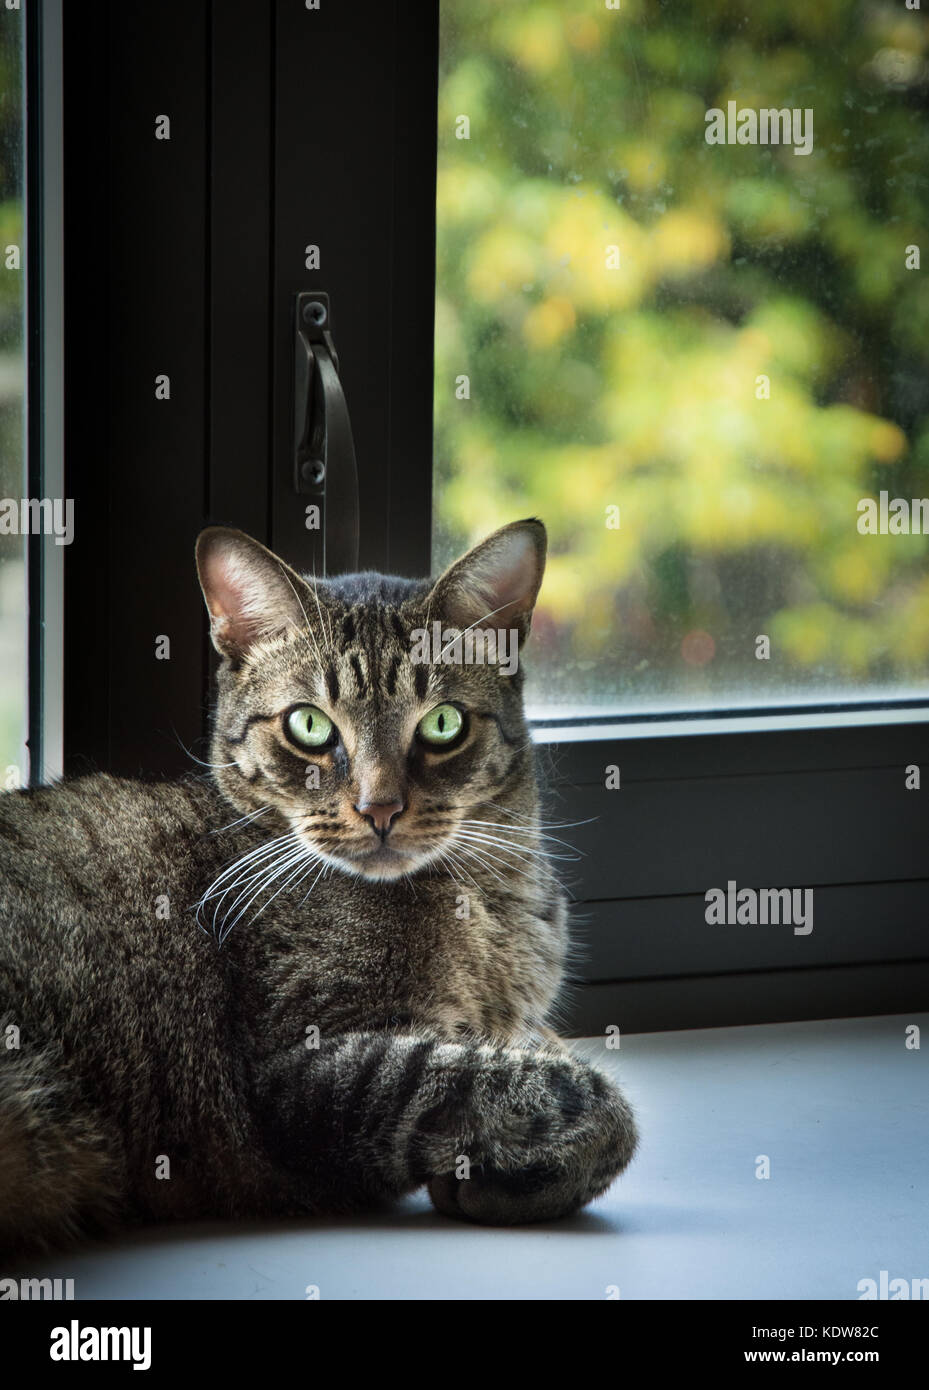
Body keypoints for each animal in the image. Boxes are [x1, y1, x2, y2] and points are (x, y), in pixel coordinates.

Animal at [0, 519, 639, 1251]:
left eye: (442, 723)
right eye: (309, 725)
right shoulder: (301, 1069)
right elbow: (576, 1097)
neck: (484, 900)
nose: (379, 807)